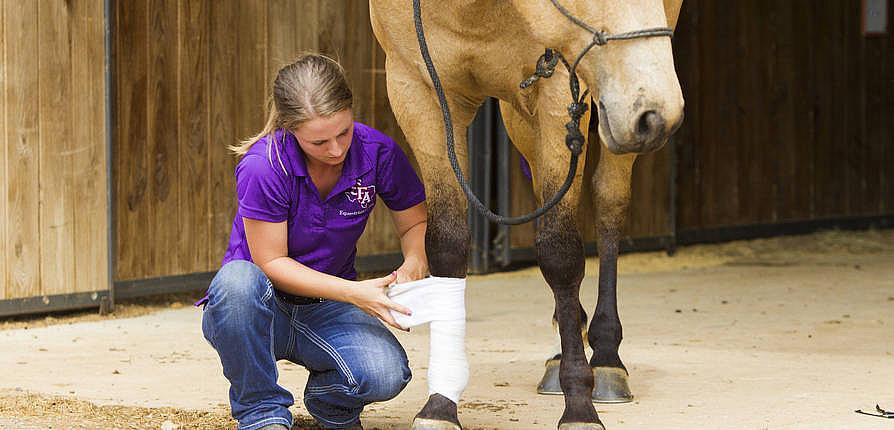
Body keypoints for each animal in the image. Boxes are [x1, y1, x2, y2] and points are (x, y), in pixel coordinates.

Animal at [370, 1, 684, 429]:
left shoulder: (560, 89)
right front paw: (440, 406)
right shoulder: (417, 91)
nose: (661, 112)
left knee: (609, 202)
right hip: (525, 111)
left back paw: (606, 359)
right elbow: (446, 248)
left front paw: (579, 409)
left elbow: (561, 257)